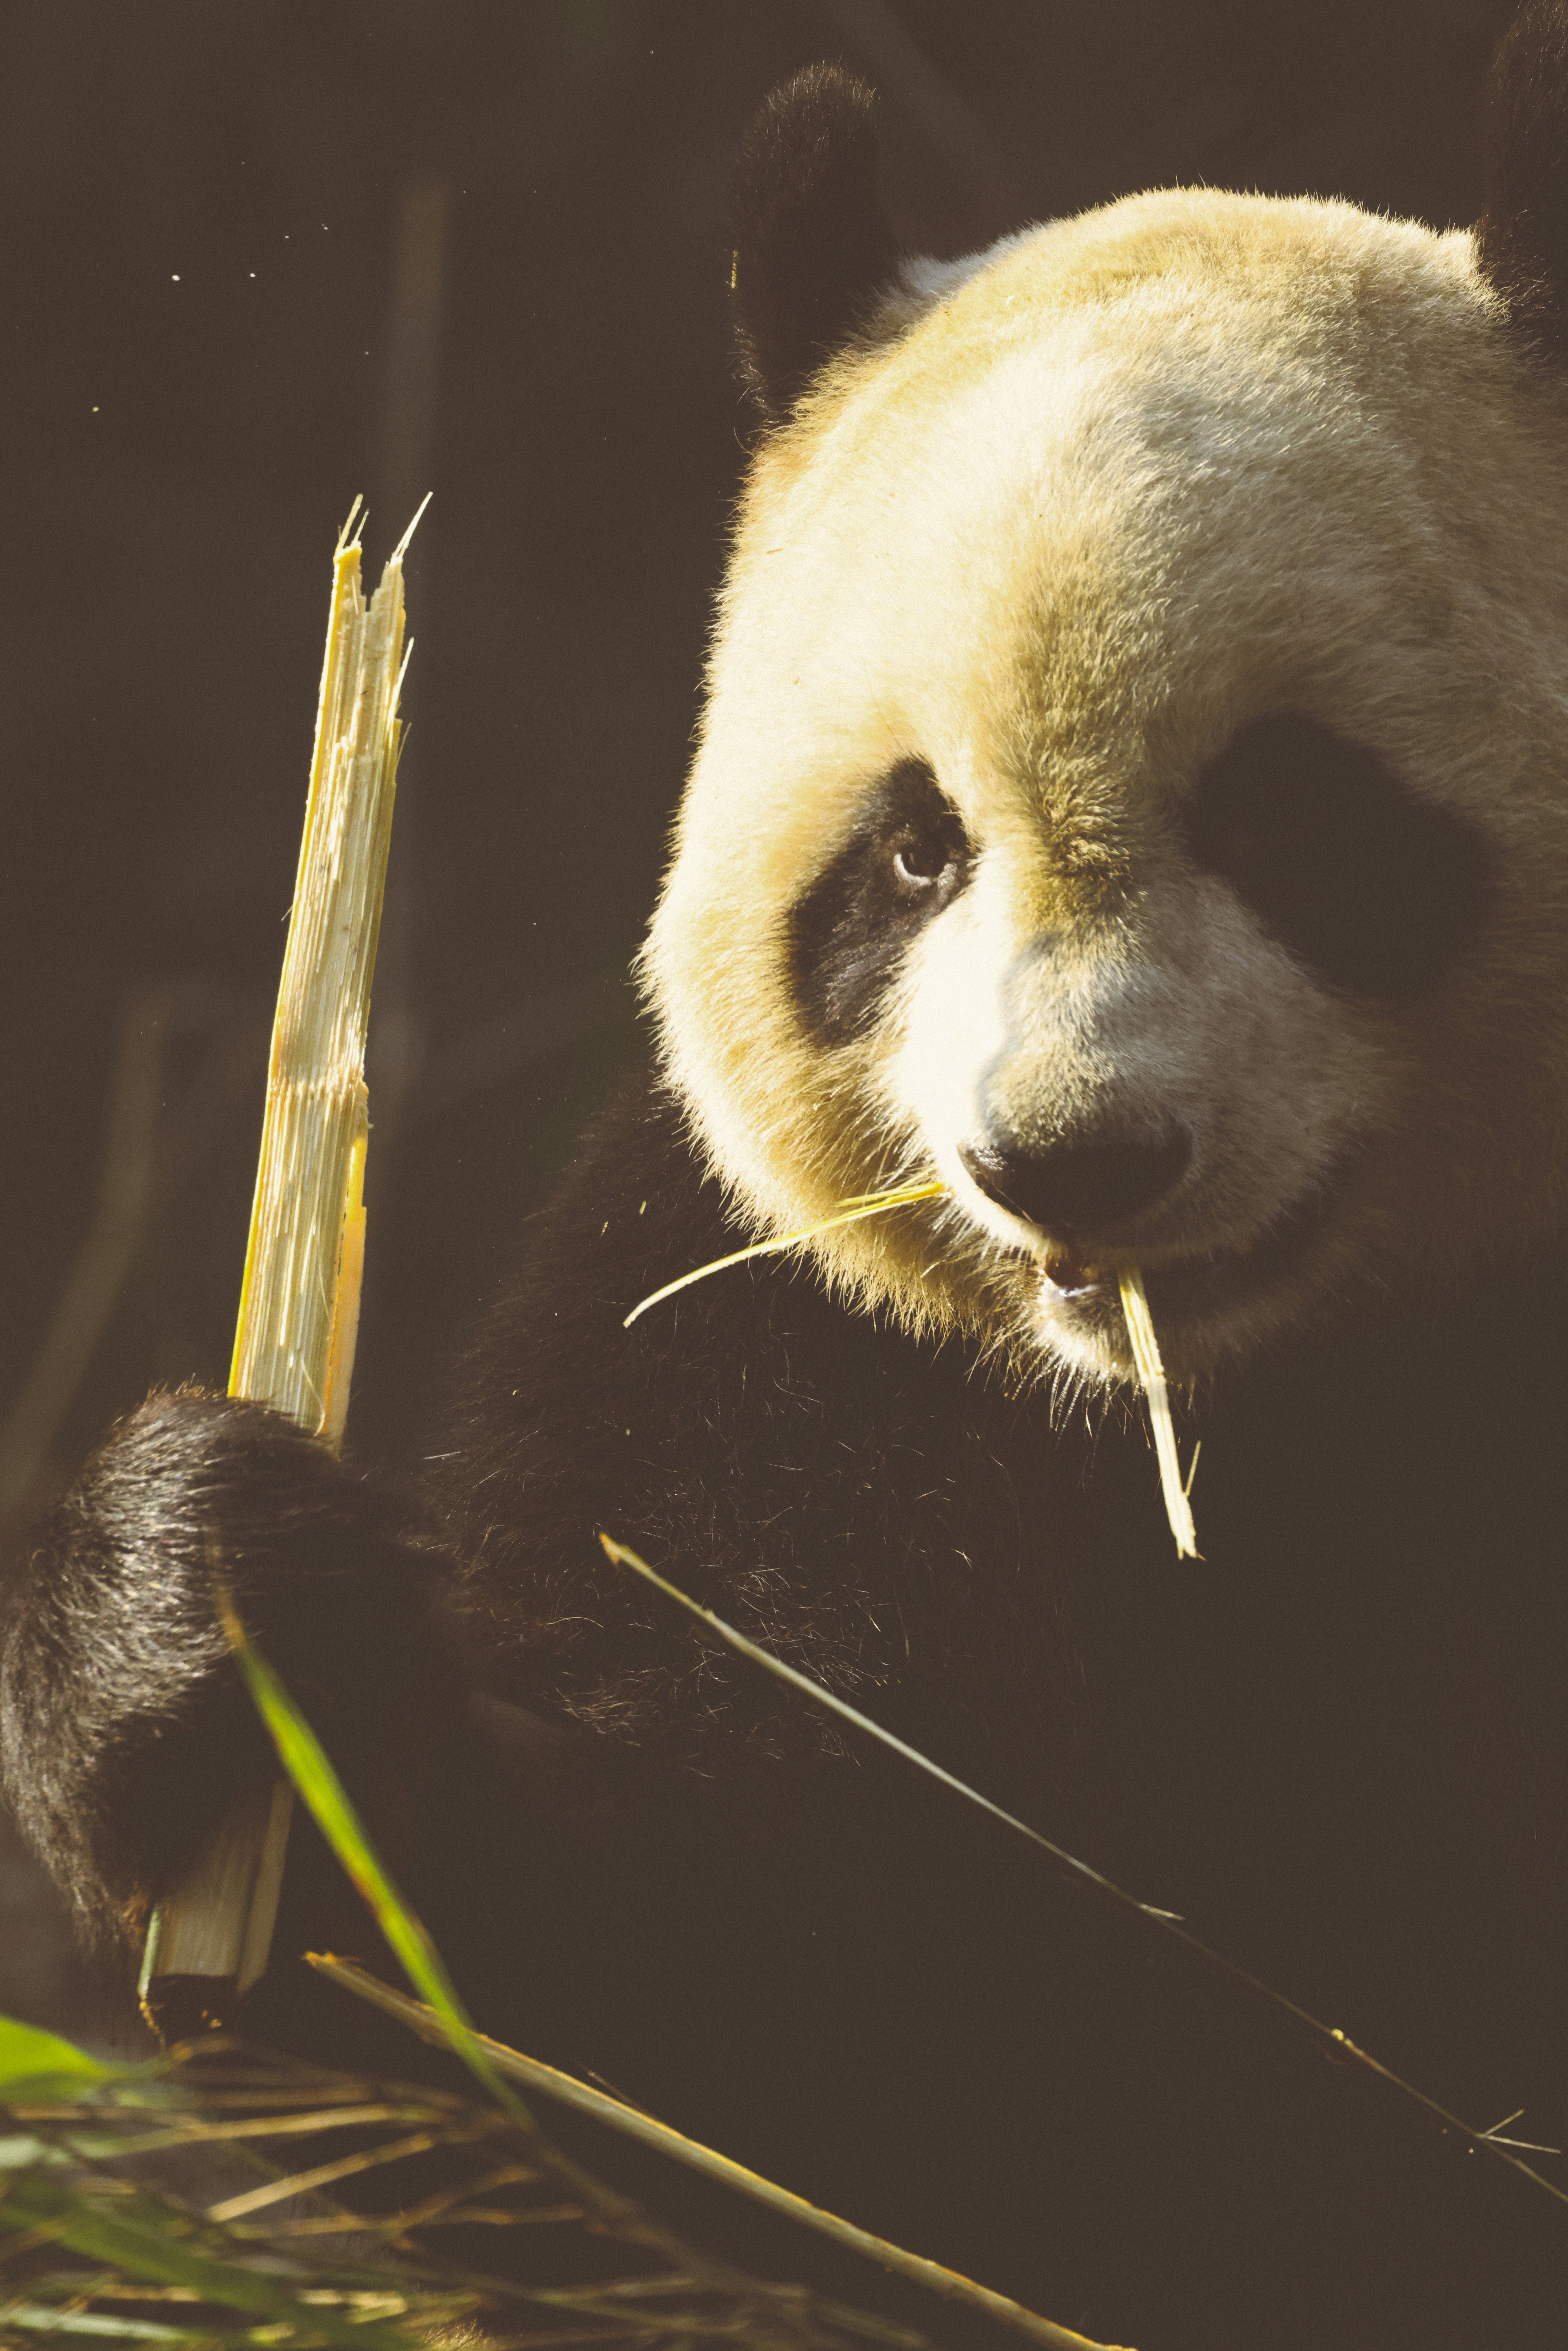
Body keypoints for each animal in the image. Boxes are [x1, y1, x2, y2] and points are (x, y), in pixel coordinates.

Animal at [8, 11, 1568, 2347]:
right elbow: (747, 2032)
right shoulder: (782, 1325)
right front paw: (212, 1627)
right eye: (911, 854)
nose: (1072, 1159)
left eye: (1288, 813)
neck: (1219, 1421)